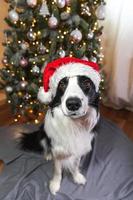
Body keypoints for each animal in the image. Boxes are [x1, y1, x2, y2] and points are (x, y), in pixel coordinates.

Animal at [20, 57, 101, 195]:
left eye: (87, 83)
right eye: (62, 85)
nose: (73, 104)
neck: (73, 124)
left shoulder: (78, 148)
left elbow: (75, 165)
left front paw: (77, 176)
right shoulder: (57, 151)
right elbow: (57, 170)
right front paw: (55, 184)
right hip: (42, 133)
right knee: (45, 145)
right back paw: (48, 154)